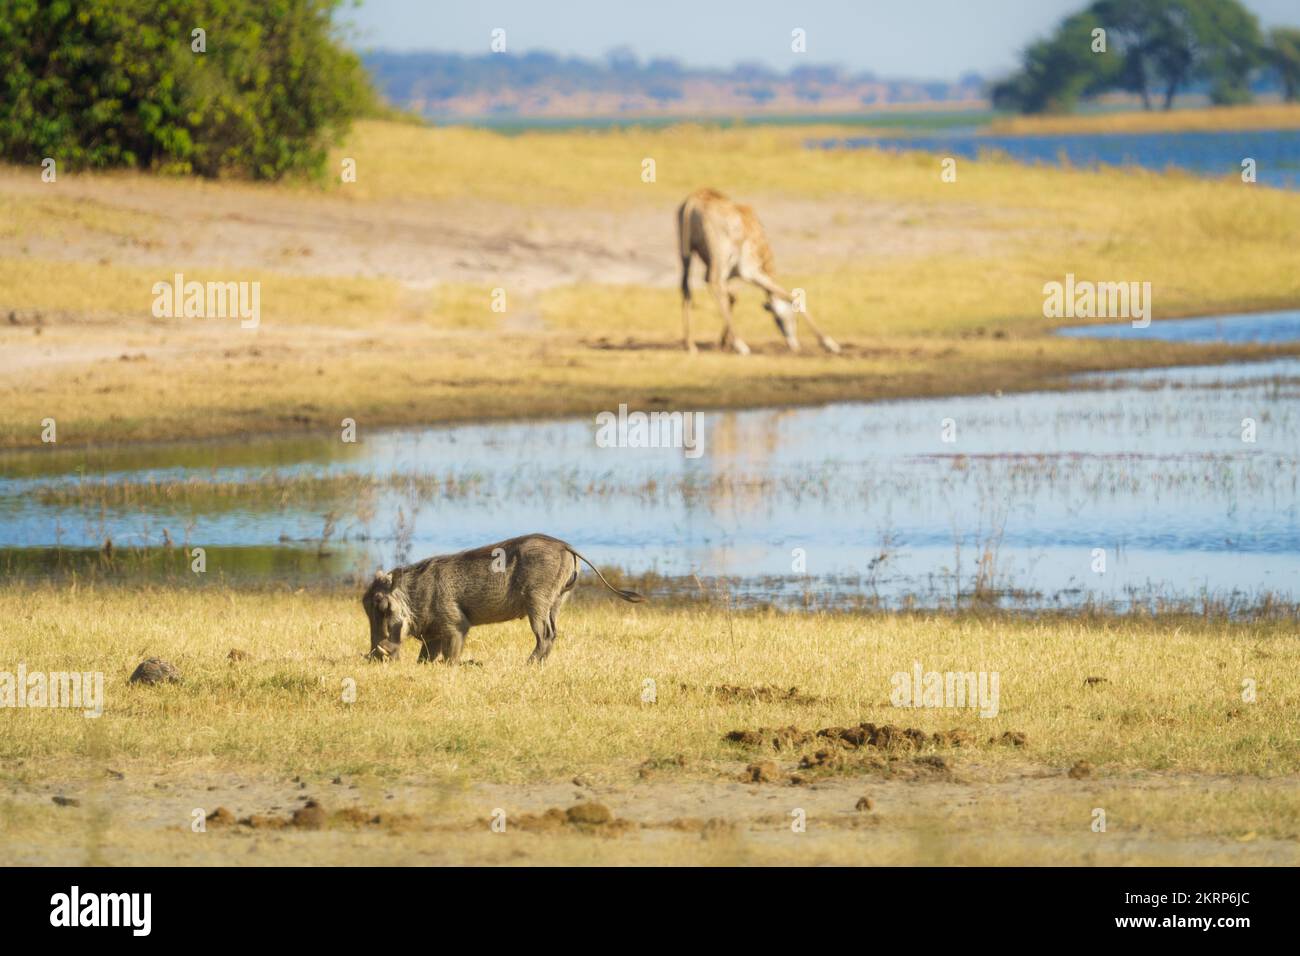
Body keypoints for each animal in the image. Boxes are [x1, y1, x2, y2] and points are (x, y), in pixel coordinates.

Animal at [676, 187, 837, 356]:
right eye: (778, 320)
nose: (793, 345)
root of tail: (693, 201)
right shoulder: (751, 272)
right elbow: (792, 297)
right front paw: (829, 343)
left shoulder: (731, 275)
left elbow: (733, 298)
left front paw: (723, 342)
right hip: (719, 257)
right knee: (711, 282)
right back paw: (741, 345)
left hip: (686, 254)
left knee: (687, 288)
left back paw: (690, 344)